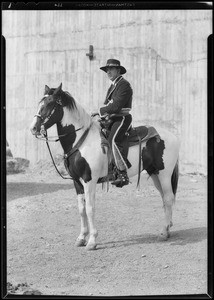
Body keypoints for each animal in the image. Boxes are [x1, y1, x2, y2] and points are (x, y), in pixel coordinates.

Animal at [29, 82, 181, 251]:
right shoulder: (76, 182)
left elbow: (90, 208)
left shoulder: (89, 180)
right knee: (165, 199)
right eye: (40, 103)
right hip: (154, 173)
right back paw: (168, 228)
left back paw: (163, 232)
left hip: (164, 174)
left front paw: (92, 241)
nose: (33, 128)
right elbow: (81, 209)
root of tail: (173, 136)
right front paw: (81, 238)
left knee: (168, 198)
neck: (82, 141)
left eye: (49, 104)